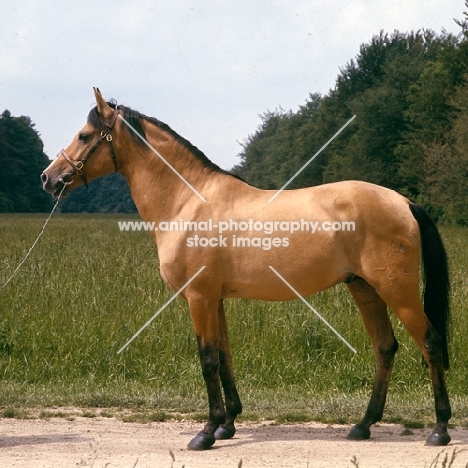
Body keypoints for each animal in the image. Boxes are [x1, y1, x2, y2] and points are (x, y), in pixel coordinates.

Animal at [42, 88, 452, 450]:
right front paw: (227, 425)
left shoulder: (199, 298)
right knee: (385, 348)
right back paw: (363, 425)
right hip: (364, 288)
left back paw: (440, 430)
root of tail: (403, 201)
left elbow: (207, 359)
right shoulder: (215, 300)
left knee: (430, 343)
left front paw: (206, 433)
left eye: (84, 135)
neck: (187, 202)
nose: (49, 177)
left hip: (397, 291)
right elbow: (224, 355)